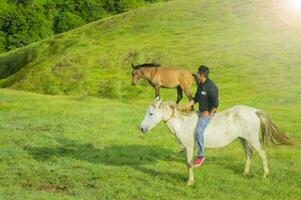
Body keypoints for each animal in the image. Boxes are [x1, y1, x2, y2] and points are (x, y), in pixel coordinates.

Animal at [139, 98, 292, 186]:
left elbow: (189, 164)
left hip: (252, 139)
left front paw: (189, 182)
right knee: (249, 154)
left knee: (262, 154)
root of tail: (253, 111)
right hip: (243, 139)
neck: (182, 123)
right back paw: (245, 173)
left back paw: (265, 175)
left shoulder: (189, 148)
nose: (141, 128)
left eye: (151, 113)